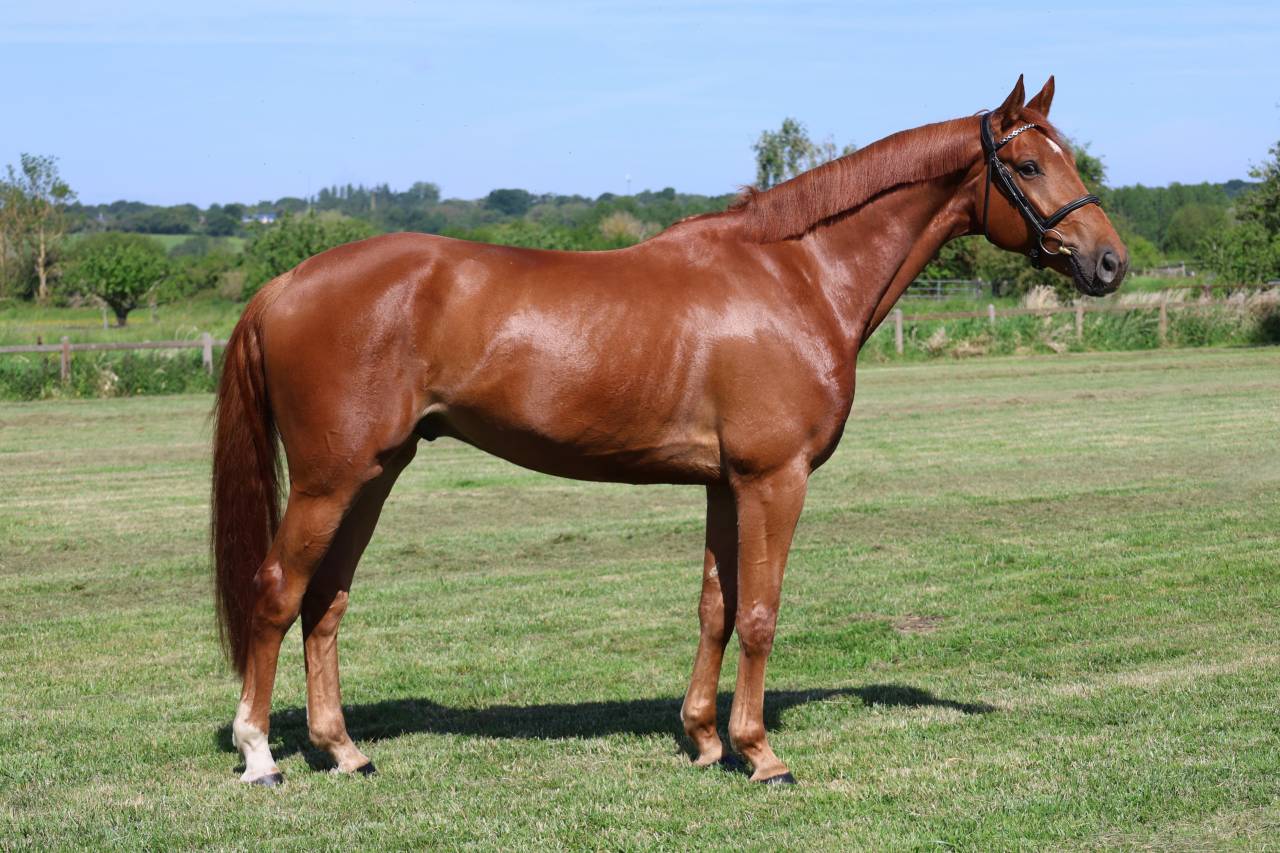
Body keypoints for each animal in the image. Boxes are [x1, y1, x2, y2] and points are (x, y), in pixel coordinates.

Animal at [212, 75, 1127, 786]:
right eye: (1028, 163)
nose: (1109, 262)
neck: (795, 275)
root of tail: (286, 282)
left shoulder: (726, 483)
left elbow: (714, 608)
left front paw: (706, 739)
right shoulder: (774, 479)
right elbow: (759, 611)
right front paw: (762, 755)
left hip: (374, 473)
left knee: (326, 601)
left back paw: (345, 749)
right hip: (331, 480)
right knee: (277, 591)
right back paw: (260, 754)